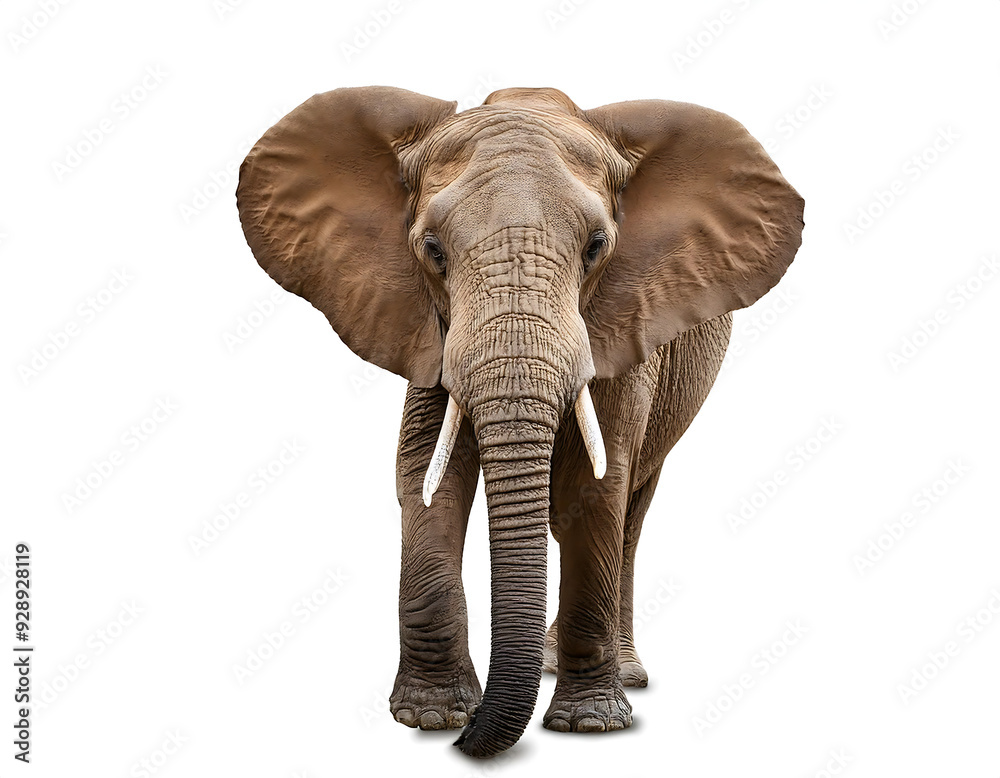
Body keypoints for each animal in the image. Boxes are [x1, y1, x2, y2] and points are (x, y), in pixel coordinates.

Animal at [236, 86, 803, 757]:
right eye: (432, 251)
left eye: (597, 247)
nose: (466, 741)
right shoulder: (428, 329)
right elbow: (427, 476)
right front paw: (432, 717)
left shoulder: (623, 322)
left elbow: (595, 489)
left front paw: (589, 725)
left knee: (632, 508)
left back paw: (622, 674)